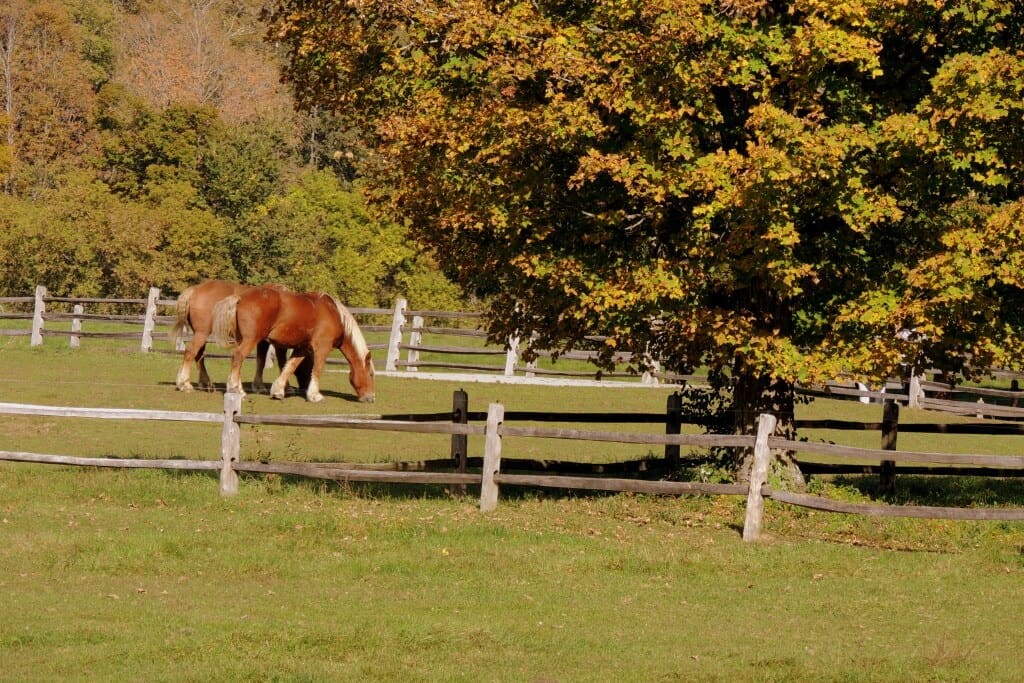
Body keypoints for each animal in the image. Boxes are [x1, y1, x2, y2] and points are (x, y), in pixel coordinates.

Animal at [170, 279, 310, 394]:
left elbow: (261, 360)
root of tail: (195, 289)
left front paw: (258, 386)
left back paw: (206, 384)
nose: (305, 387)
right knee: (191, 351)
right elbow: (281, 361)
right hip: (202, 333)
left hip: (201, 334)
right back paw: (184, 384)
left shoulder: (262, 341)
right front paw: (286, 387)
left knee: (199, 355)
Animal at [210, 286, 375, 403]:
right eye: (371, 374)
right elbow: (317, 369)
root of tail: (240, 298)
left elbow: (290, 366)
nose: (371, 397)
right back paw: (237, 390)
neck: (334, 314)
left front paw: (278, 391)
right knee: (238, 357)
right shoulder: (322, 347)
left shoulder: (302, 348)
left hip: (243, 339)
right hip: (250, 340)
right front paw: (314, 395)